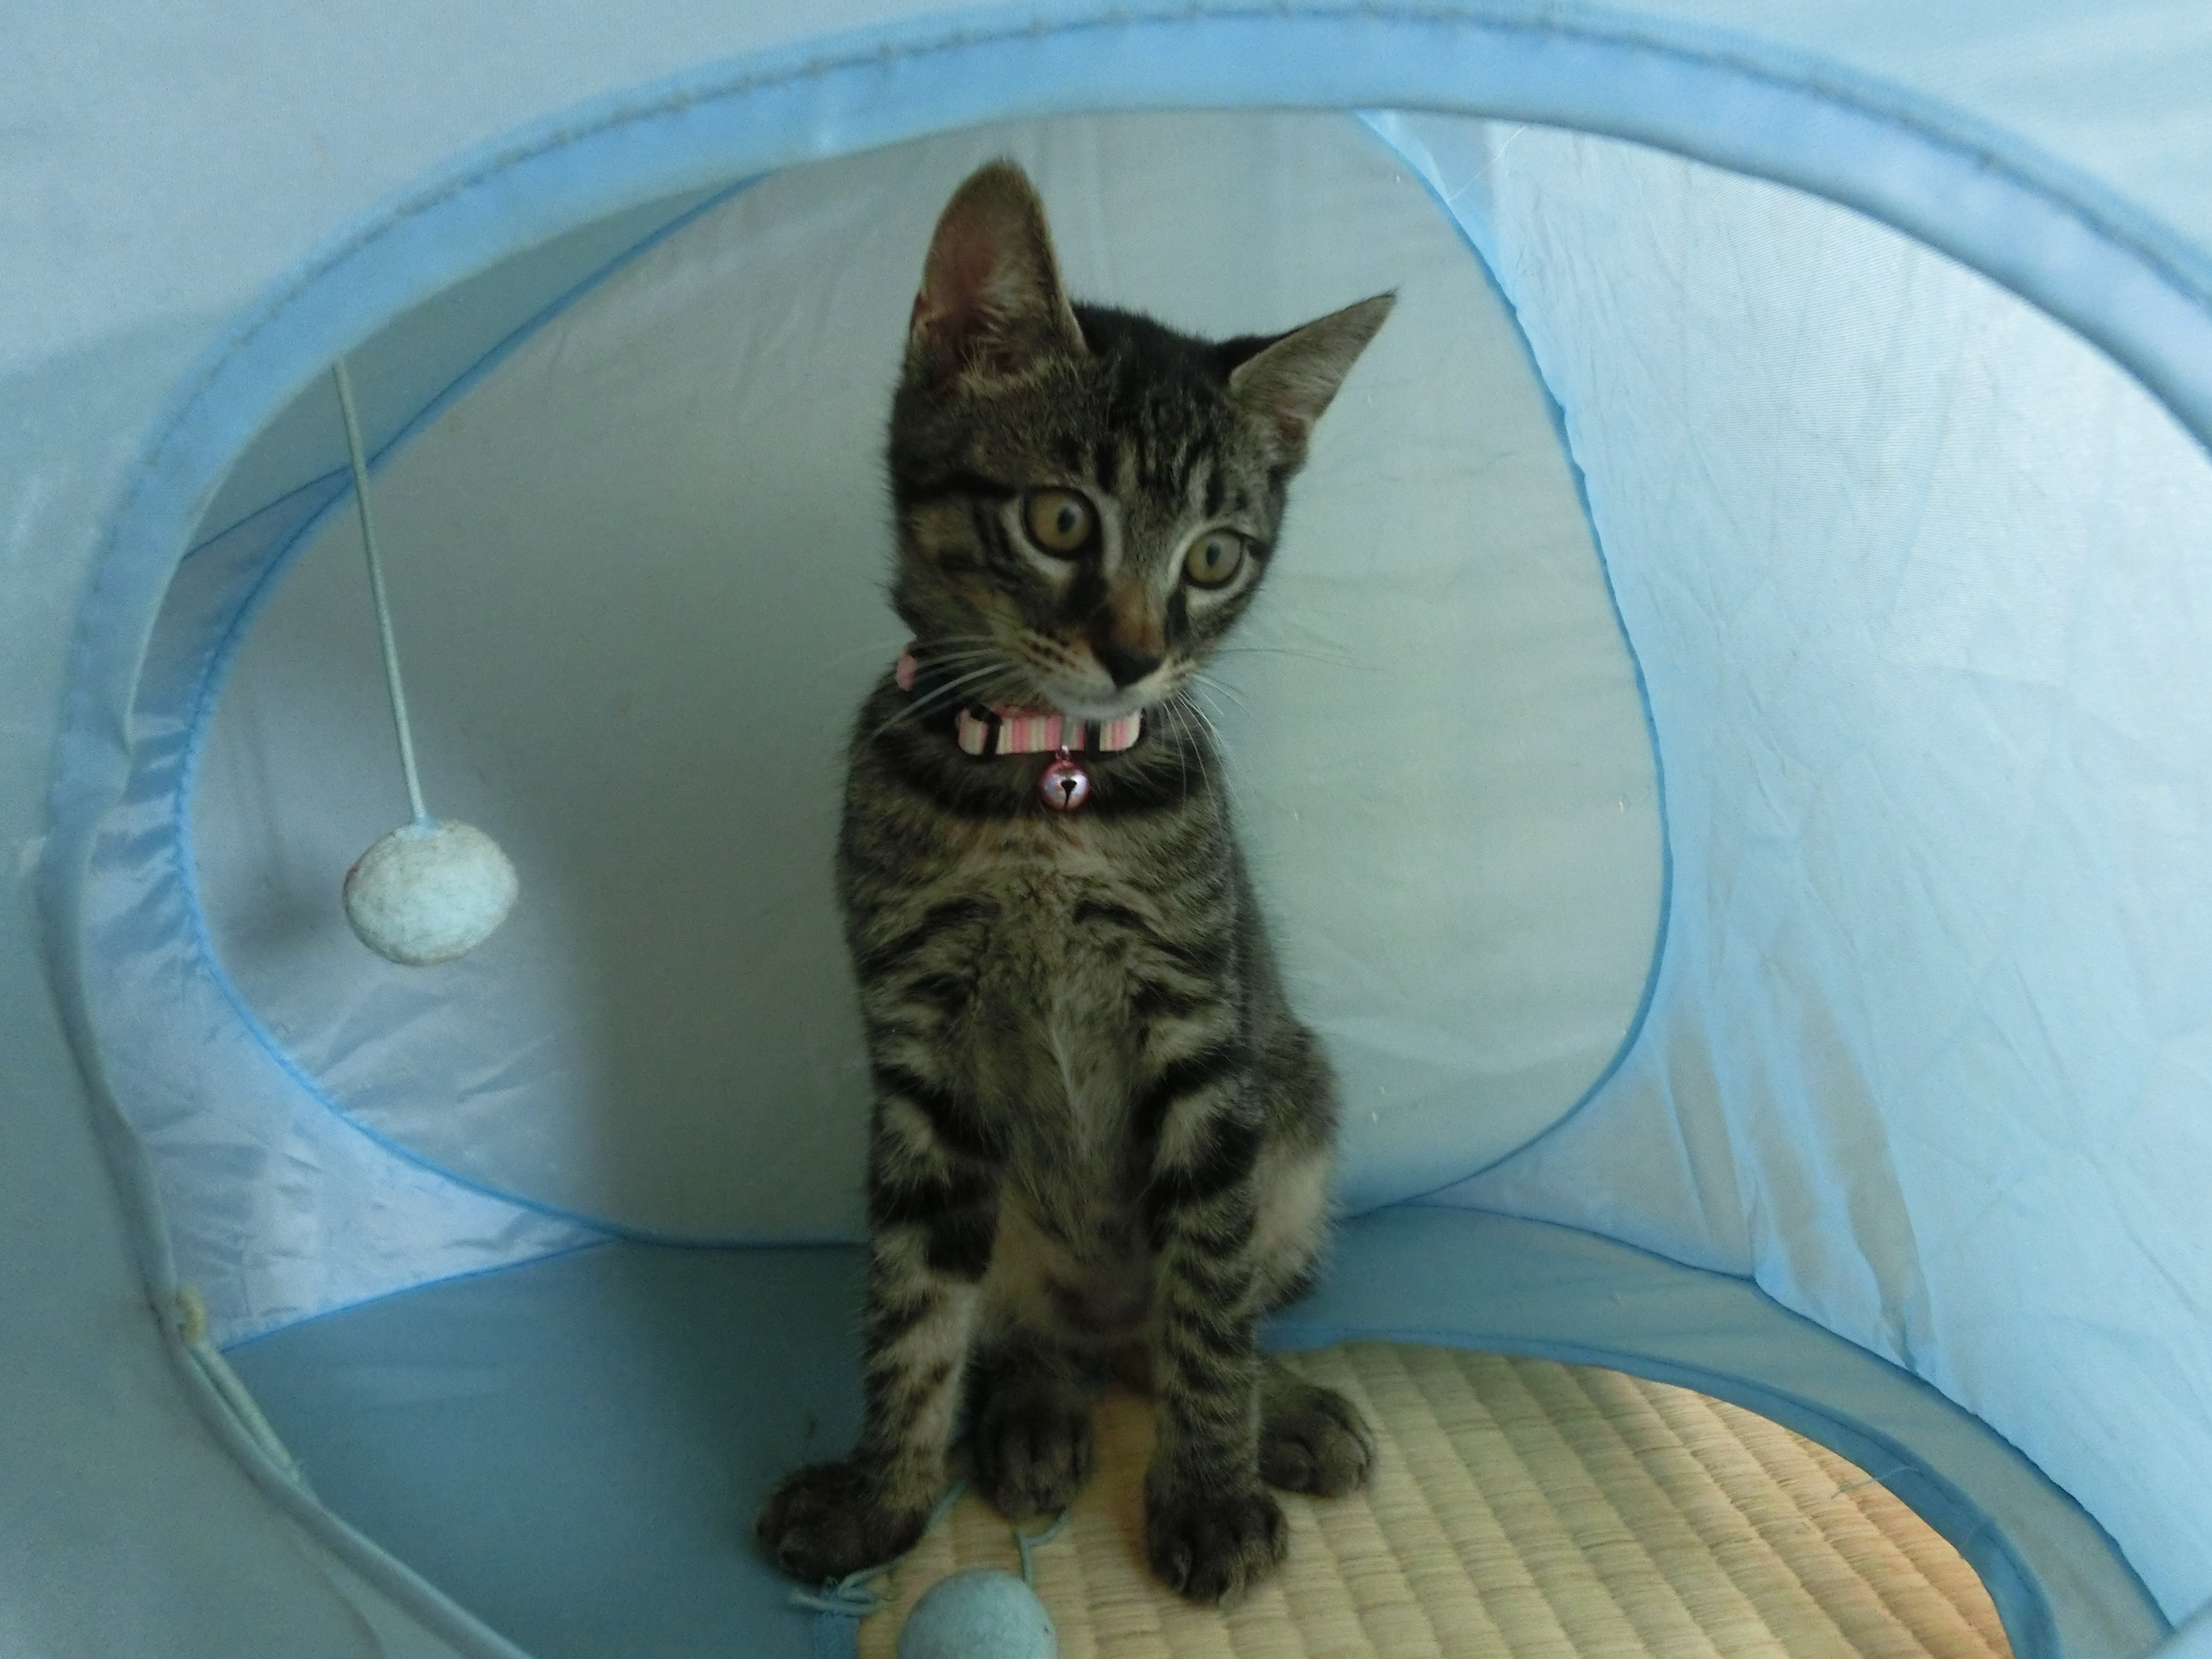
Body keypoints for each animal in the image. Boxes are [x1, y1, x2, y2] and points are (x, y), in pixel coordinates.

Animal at [757, 159, 1393, 1606]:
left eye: (1215, 555)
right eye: (1060, 521)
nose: (1137, 655)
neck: (1047, 789)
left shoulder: (1202, 1036)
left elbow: (1208, 1301)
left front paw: (1209, 1490)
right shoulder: (922, 1059)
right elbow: (911, 1310)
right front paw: (882, 1497)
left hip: (1296, 1112)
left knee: (1187, 1320)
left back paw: (1281, 1414)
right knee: (1030, 1332)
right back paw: (1034, 1412)